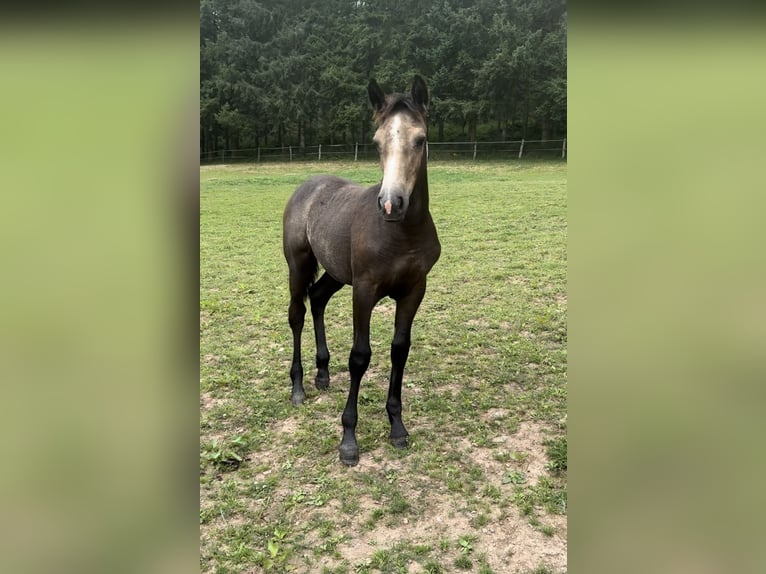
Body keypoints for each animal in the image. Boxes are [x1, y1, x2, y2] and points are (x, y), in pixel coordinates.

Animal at [282, 75, 440, 468]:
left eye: (420, 139)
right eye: (377, 141)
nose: (391, 203)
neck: (402, 233)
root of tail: (309, 184)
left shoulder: (415, 289)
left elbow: (400, 349)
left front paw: (397, 427)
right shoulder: (365, 290)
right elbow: (359, 357)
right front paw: (348, 440)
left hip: (336, 272)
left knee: (318, 298)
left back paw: (323, 372)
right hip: (298, 264)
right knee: (297, 314)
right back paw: (298, 387)